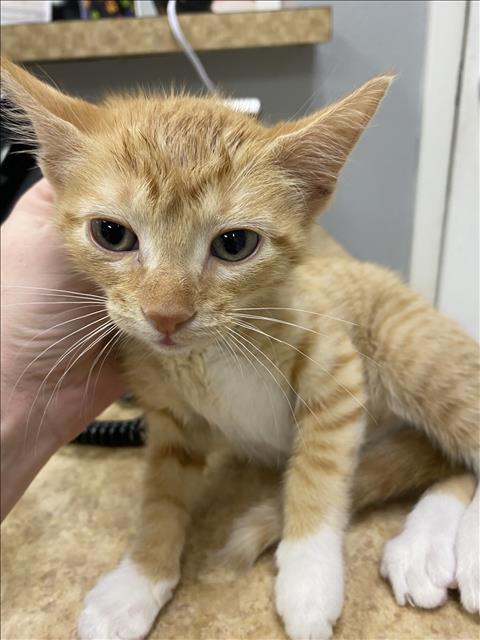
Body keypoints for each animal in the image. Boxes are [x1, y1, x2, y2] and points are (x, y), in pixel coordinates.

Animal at [2, 61, 476, 640]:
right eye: (111, 234)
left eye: (234, 245)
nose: (166, 315)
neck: (208, 355)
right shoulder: (168, 415)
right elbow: (161, 493)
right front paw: (138, 581)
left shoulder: (337, 367)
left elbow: (318, 470)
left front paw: (309, 579)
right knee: (438, 456)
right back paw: (422, 549)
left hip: (410, 353)